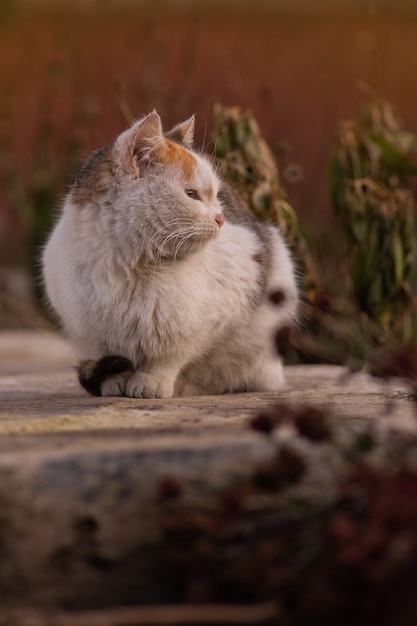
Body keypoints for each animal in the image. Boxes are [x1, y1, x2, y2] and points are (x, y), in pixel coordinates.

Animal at [42, 110, 298, 398]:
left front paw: (152, 382)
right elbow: (110, 359)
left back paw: (187, 386)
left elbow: (168, 358)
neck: (129, 262)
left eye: (216, 195)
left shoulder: (220, 308)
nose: (221, 219)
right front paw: (115, 383)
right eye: (191, 194)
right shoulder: (89, 334)